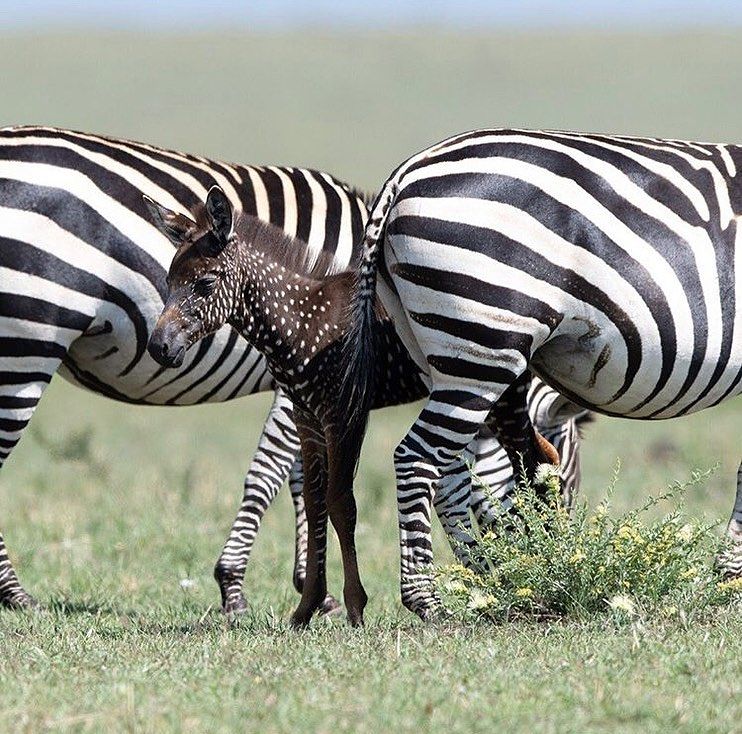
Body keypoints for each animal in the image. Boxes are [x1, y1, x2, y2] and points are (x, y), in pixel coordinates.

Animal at [0, 125, 585, 611]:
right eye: (568, 481)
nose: (556, 551)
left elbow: (312, 479)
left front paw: (311, 588)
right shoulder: (304, 389)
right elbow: (282, 476)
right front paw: (246, 589)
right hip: (26, 343)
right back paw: (17, 596)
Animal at [342, 128, 742, 619]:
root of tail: (404, 174)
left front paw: (729, 578)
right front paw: (731, 580)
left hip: (440, 352)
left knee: (453, 469)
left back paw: (490, 584)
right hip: (485, 343)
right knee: (416, 458)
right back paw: (431, 602)